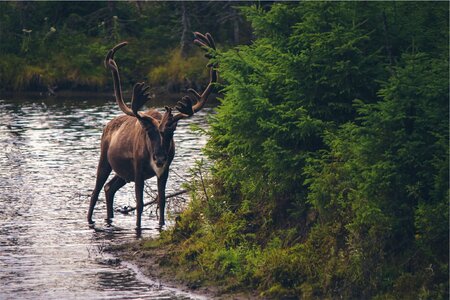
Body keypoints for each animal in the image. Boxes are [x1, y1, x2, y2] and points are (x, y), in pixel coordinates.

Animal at [87, 32, 217, 230]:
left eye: (171, 132)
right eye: (148, 132)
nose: (160, 158)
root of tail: (107, 125)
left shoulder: (165, 170)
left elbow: (161, 200)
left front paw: (161, 226)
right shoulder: (138, 170)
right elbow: (140, 204)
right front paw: (138, 228)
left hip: (123, 173)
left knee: (109, 188)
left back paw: (110, 219)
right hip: (105, 160)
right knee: (96, 191)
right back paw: (90, 220)